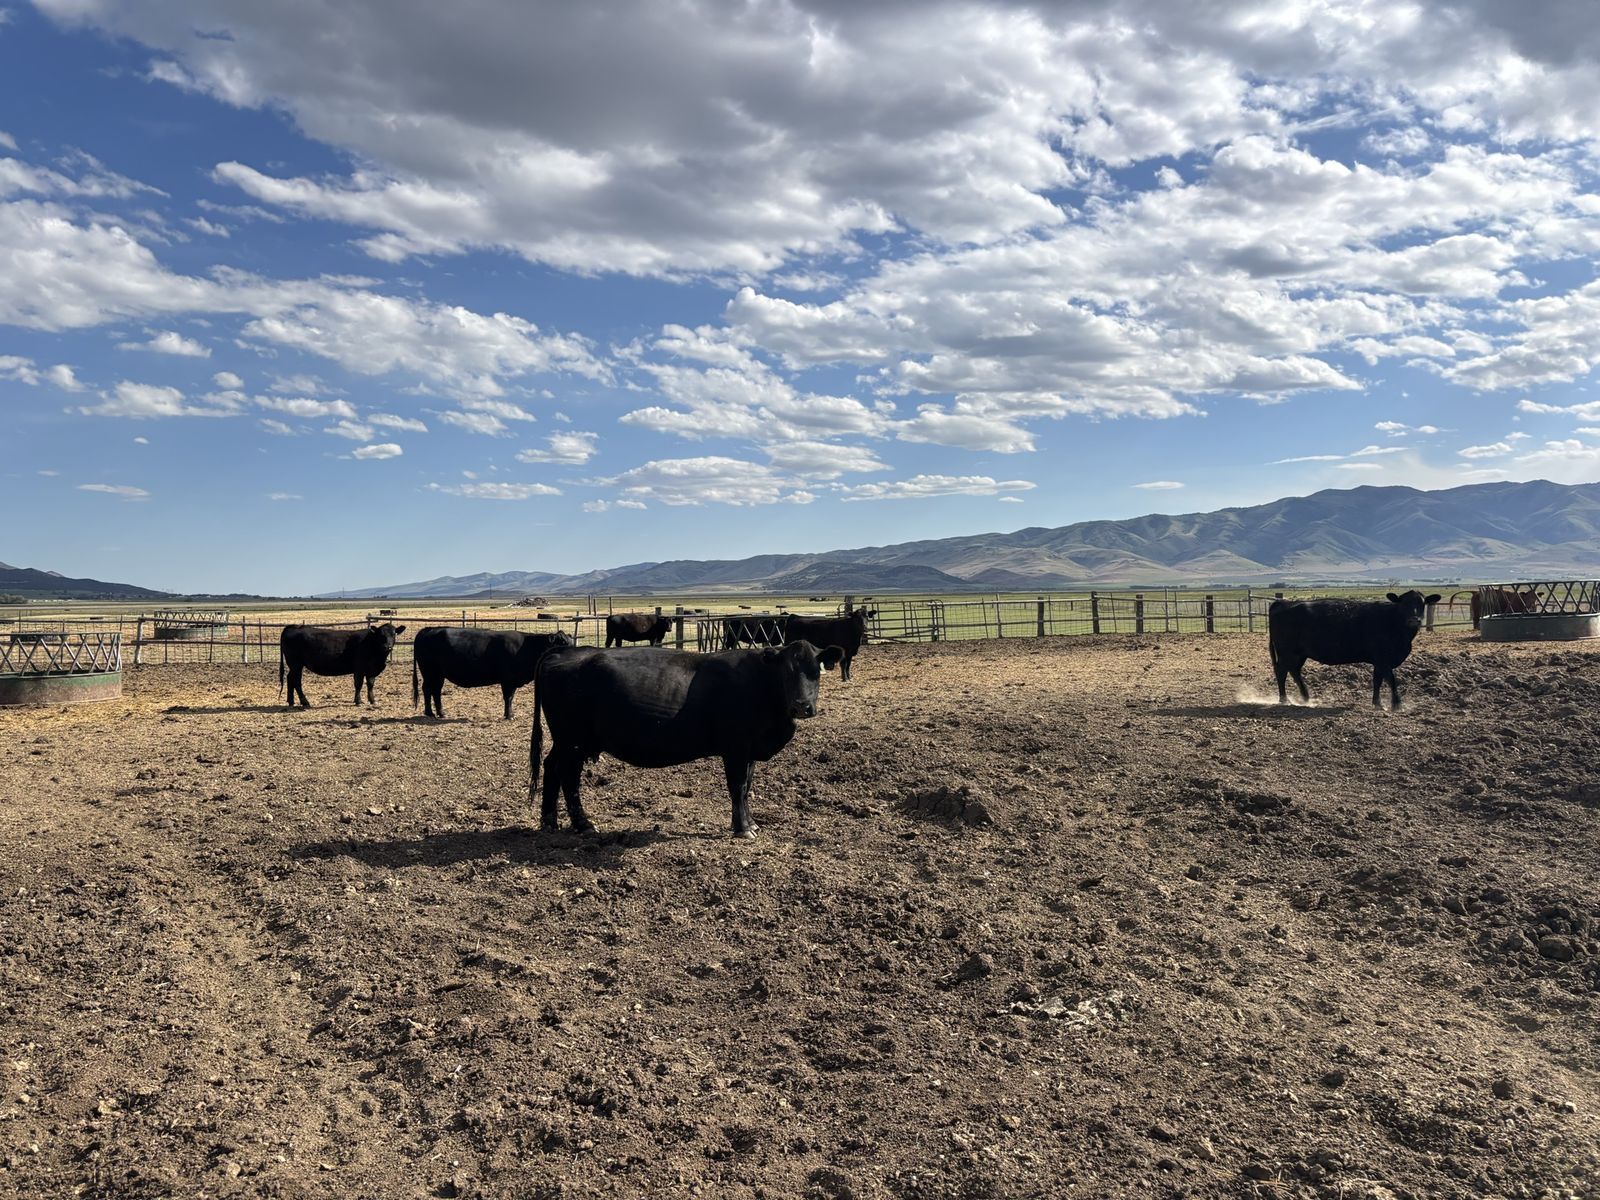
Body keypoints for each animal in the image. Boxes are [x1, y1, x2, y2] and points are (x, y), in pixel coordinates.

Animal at [412, 627, 573, 719]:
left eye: (571, 642)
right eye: (562, 643)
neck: (527, 647)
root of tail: (428, 629)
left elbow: (510, 698)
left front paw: (509, 714)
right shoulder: (508, 680)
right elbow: (508, 697)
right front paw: (509, 716)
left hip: (438, 674)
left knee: (435, 691)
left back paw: (440, 713)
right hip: (430, 672)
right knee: (427, 689)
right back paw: (430, 712)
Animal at [530, 640, 843, 838]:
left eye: (815, 671)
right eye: (786, 671)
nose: (802, 706)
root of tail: (566, 651)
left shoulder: (750, 749)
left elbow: (748, 787)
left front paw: (751, 823)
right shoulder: (736, 747)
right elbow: (738, 786)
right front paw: (742, 828)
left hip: (567, 742)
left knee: (551, 767)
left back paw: (549, 821)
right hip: (573, 741)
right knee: (568, 775)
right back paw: (583, 824)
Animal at [1267, 591, 1441, 710]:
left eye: (1422, 603)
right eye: (1403, 604)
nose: (1414, 620)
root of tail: (1283, 603)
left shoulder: (1379, 662)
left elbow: (1377, 680)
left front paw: (1377, 704)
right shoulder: (1383, 660)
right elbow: (1391, 680)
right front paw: (1397, 705)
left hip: (1298, 654)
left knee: (1294, 671)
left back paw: (1306, 698)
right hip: (1287, 652)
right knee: (1281, 671)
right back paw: (1284, 699)